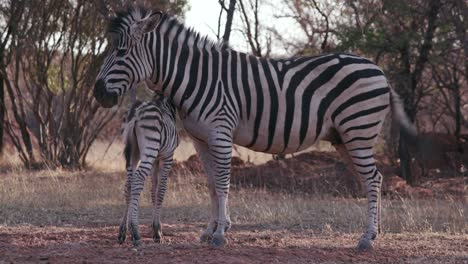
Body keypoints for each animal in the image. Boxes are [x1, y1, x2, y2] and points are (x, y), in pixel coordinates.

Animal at [119, 94, 179, 246]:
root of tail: (136, 111)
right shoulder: (167, 156)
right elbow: (161, 191)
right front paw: (157, 232)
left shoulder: (156, 161)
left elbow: (153, 190)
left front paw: (155, 228)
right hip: (149, 147)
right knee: (138, 179)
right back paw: (136, 233)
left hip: (134, 152)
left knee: (128, 184)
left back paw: (123, 231)